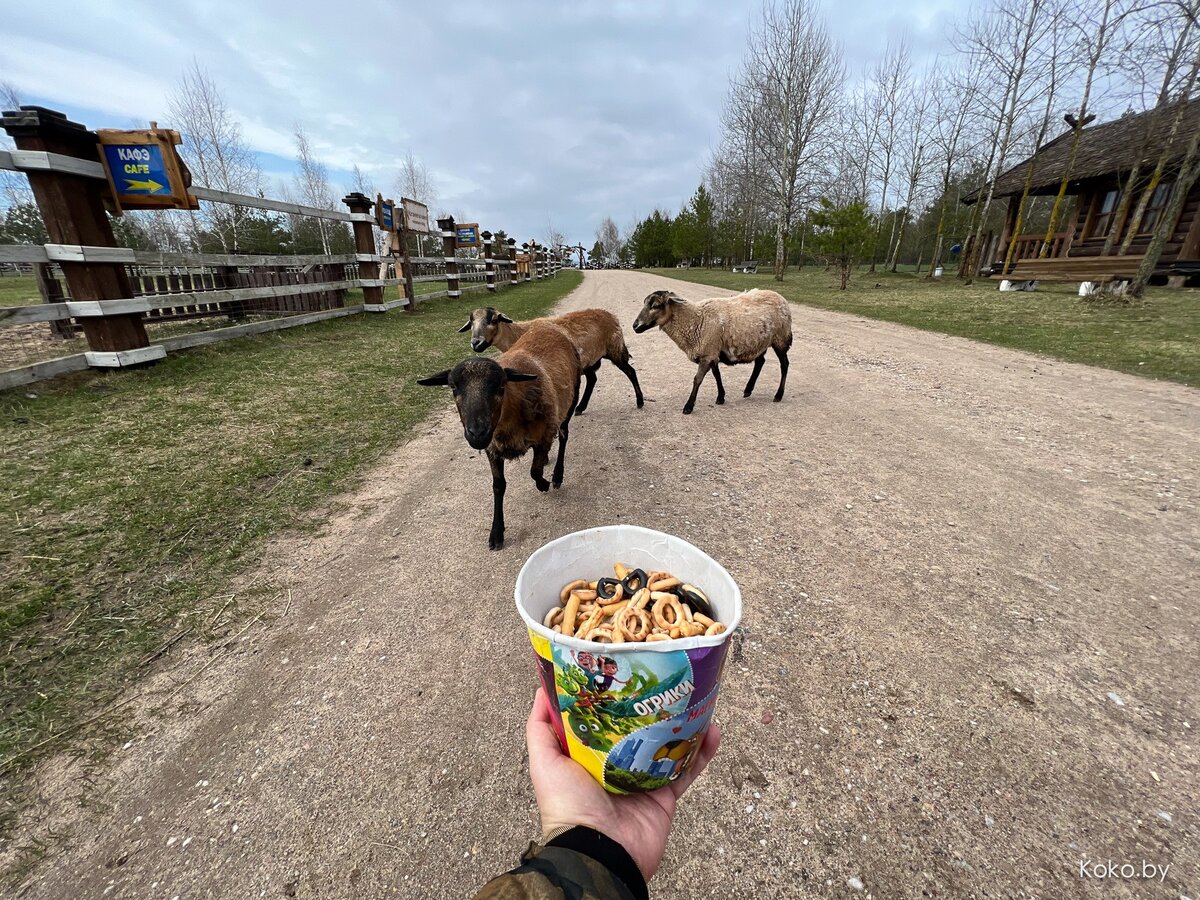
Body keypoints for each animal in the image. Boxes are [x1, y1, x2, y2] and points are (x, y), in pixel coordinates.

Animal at [417, 324, 580, 549]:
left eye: (501, 386)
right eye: (453, 387)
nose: (477, 433)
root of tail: (548, 327)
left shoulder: (544, 435)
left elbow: (535, 472)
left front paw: (544, 484)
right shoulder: (492, 448)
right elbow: (498, 486)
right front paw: (496, 532)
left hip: (571, 400)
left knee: (564, 436)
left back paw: (557, 476)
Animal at [458, 307, 648, 412]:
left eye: (494, 320)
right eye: (471, 322)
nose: (476, 343)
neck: (518, 334)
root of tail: (611, 316)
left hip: (615, 349)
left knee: (630, 372)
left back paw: (639, 402)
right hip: (589, 359)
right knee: (593, 379)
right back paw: (580, 408)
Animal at [633, 289, 792, 415]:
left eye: (655, 306)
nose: (635, 326)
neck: (695, 320)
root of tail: (780, 296)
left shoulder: (707, 354)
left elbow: (697, 379)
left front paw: (688, 406)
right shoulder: (711, 352)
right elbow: (717, 375)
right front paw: (721, 397)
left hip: (780, 338)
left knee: (784, 364)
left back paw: (778, 395)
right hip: (759, 342)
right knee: (760, 362)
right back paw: (748, 389)